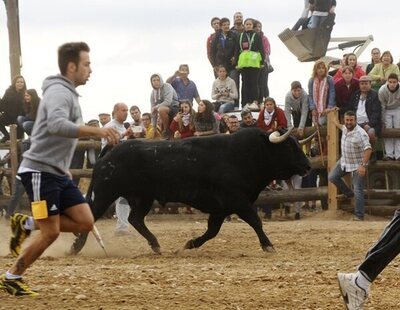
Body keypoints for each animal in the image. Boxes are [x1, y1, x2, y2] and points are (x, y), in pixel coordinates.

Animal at [70, 128, 310, 254]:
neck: (251, 153)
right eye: (289, 147)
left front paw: (190, 244)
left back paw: (156, 245)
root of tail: (110, 150)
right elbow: (255, 221)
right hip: (104, 194)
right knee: (93, 216)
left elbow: (212, 231)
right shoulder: (237, 201)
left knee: (136, 219)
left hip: (143, 197)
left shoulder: (220, 209)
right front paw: (268, 245)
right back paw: (75, 247)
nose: (308, 166)